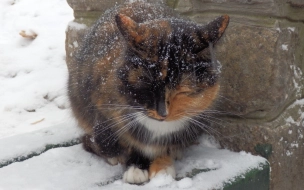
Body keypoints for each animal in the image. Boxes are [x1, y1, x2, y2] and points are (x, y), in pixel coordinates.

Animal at [66, 0, 228, 184]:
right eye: (147, 86)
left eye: (182, 90)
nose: (163, 113)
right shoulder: (104, 111)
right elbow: (124, 144)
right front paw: (136, 167)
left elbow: (164, 148)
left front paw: (163, 167)